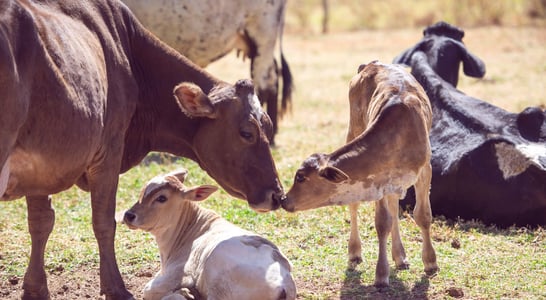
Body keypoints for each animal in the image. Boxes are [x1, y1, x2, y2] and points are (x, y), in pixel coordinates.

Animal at [122, 170, 296, 298]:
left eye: (162, 198)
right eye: (142, 192)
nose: (128, 215)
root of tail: (285, 282)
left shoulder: (179, 273)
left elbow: (148, 290)